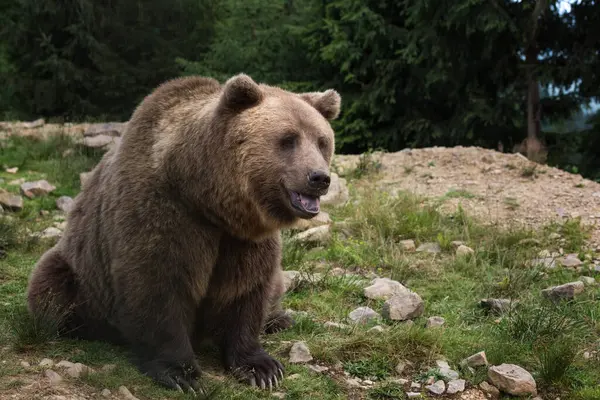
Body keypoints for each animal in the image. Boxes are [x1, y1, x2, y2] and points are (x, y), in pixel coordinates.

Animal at [25, 73, 340, 392]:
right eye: (288, 139)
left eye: (322, 141)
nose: (319, 178)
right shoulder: (166, 214)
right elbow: (159, 284)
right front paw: (182, 373)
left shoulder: (244, 239)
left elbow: (247, 289)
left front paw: (261, 368)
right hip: (80, 274)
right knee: (52, 287)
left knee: (275, 287)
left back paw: (279, 319)